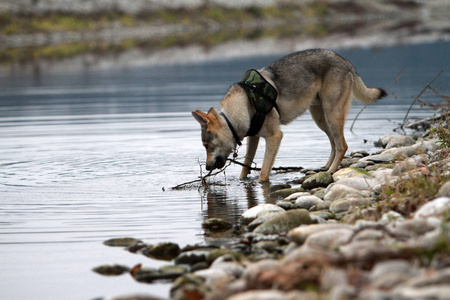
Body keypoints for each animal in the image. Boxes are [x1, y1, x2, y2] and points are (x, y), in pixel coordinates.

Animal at [192, 49, 384, 182]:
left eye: (206, 145)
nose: (207, 167)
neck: (245, 104)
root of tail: (345, 60)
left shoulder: (275, 136)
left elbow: (263, 171)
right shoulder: (254, 137)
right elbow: (245, 167)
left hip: (332, 115)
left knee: (342, 145)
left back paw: (331, 171)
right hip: (321, 119)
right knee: (334, 145)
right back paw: (326, 167)